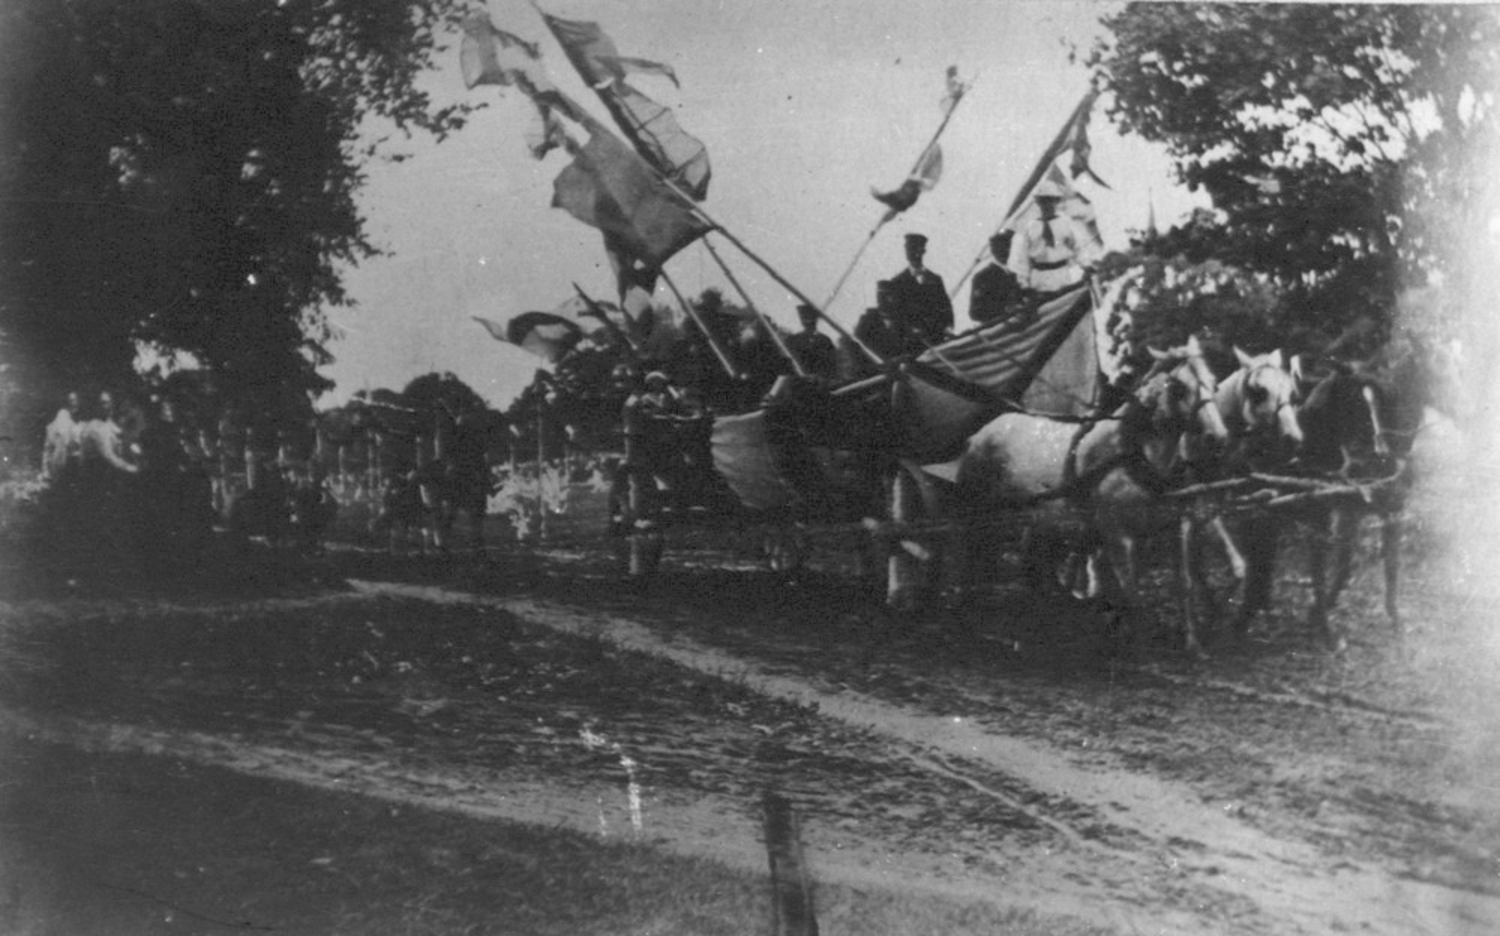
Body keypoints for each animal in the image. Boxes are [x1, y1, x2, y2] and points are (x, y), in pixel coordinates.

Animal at [954, 340, 1224, 654]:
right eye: (1178, 388)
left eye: (1213, 382)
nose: (1216, 437)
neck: (1135, 453)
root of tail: (979, 434)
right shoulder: (1119, 535)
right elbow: (1131, 593)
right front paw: (1138, 646)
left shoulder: (1177, 528)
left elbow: (1185, 585)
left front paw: (1194, 645)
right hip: (977, 511)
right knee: (969, 557)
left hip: (1038, 519)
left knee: (1028, 562)